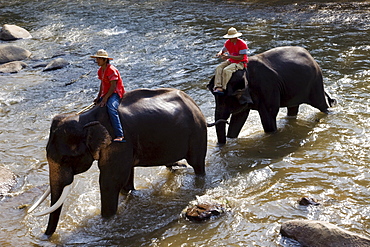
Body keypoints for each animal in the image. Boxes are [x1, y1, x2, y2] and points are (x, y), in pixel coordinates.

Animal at [28, 88, 208, 237]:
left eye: (65, 159)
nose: (44, 236)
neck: (84, 118)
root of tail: (191, 100)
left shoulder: (119, 142)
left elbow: (110, 181)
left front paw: (106, 221)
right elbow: (125, 178)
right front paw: (129, 193)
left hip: (198, 131)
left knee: (198, 163)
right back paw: (178, 167)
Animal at [207, 45, 336, 145]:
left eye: (227, 99)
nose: (220, 145)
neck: (245, 71)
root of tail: (311, 57)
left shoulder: (267, 87)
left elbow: (268, 117)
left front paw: (271, 135)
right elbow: (239, 118)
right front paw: (231, 139)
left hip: (315, 82)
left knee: (321, 104)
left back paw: (328, 113)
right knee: (293, 108)